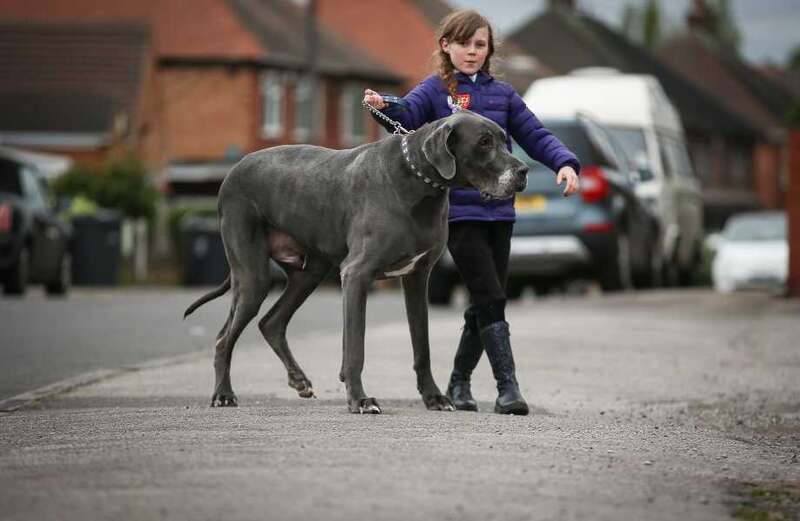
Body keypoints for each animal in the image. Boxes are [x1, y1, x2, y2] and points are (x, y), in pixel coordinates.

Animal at [184, 109, 528, 414]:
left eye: (503, 138)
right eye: (484, 142)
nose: (523, 171)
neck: (418, 182)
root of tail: (233, 170)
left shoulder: (417, 278)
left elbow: (422, 347)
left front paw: (433, 397)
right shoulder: (356, 275)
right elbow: (355, 348)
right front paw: (360, 400)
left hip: (310, 272)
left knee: (271, 322)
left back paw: (299, 380)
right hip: (253, 276)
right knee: (223, 338)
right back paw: (224, 394)